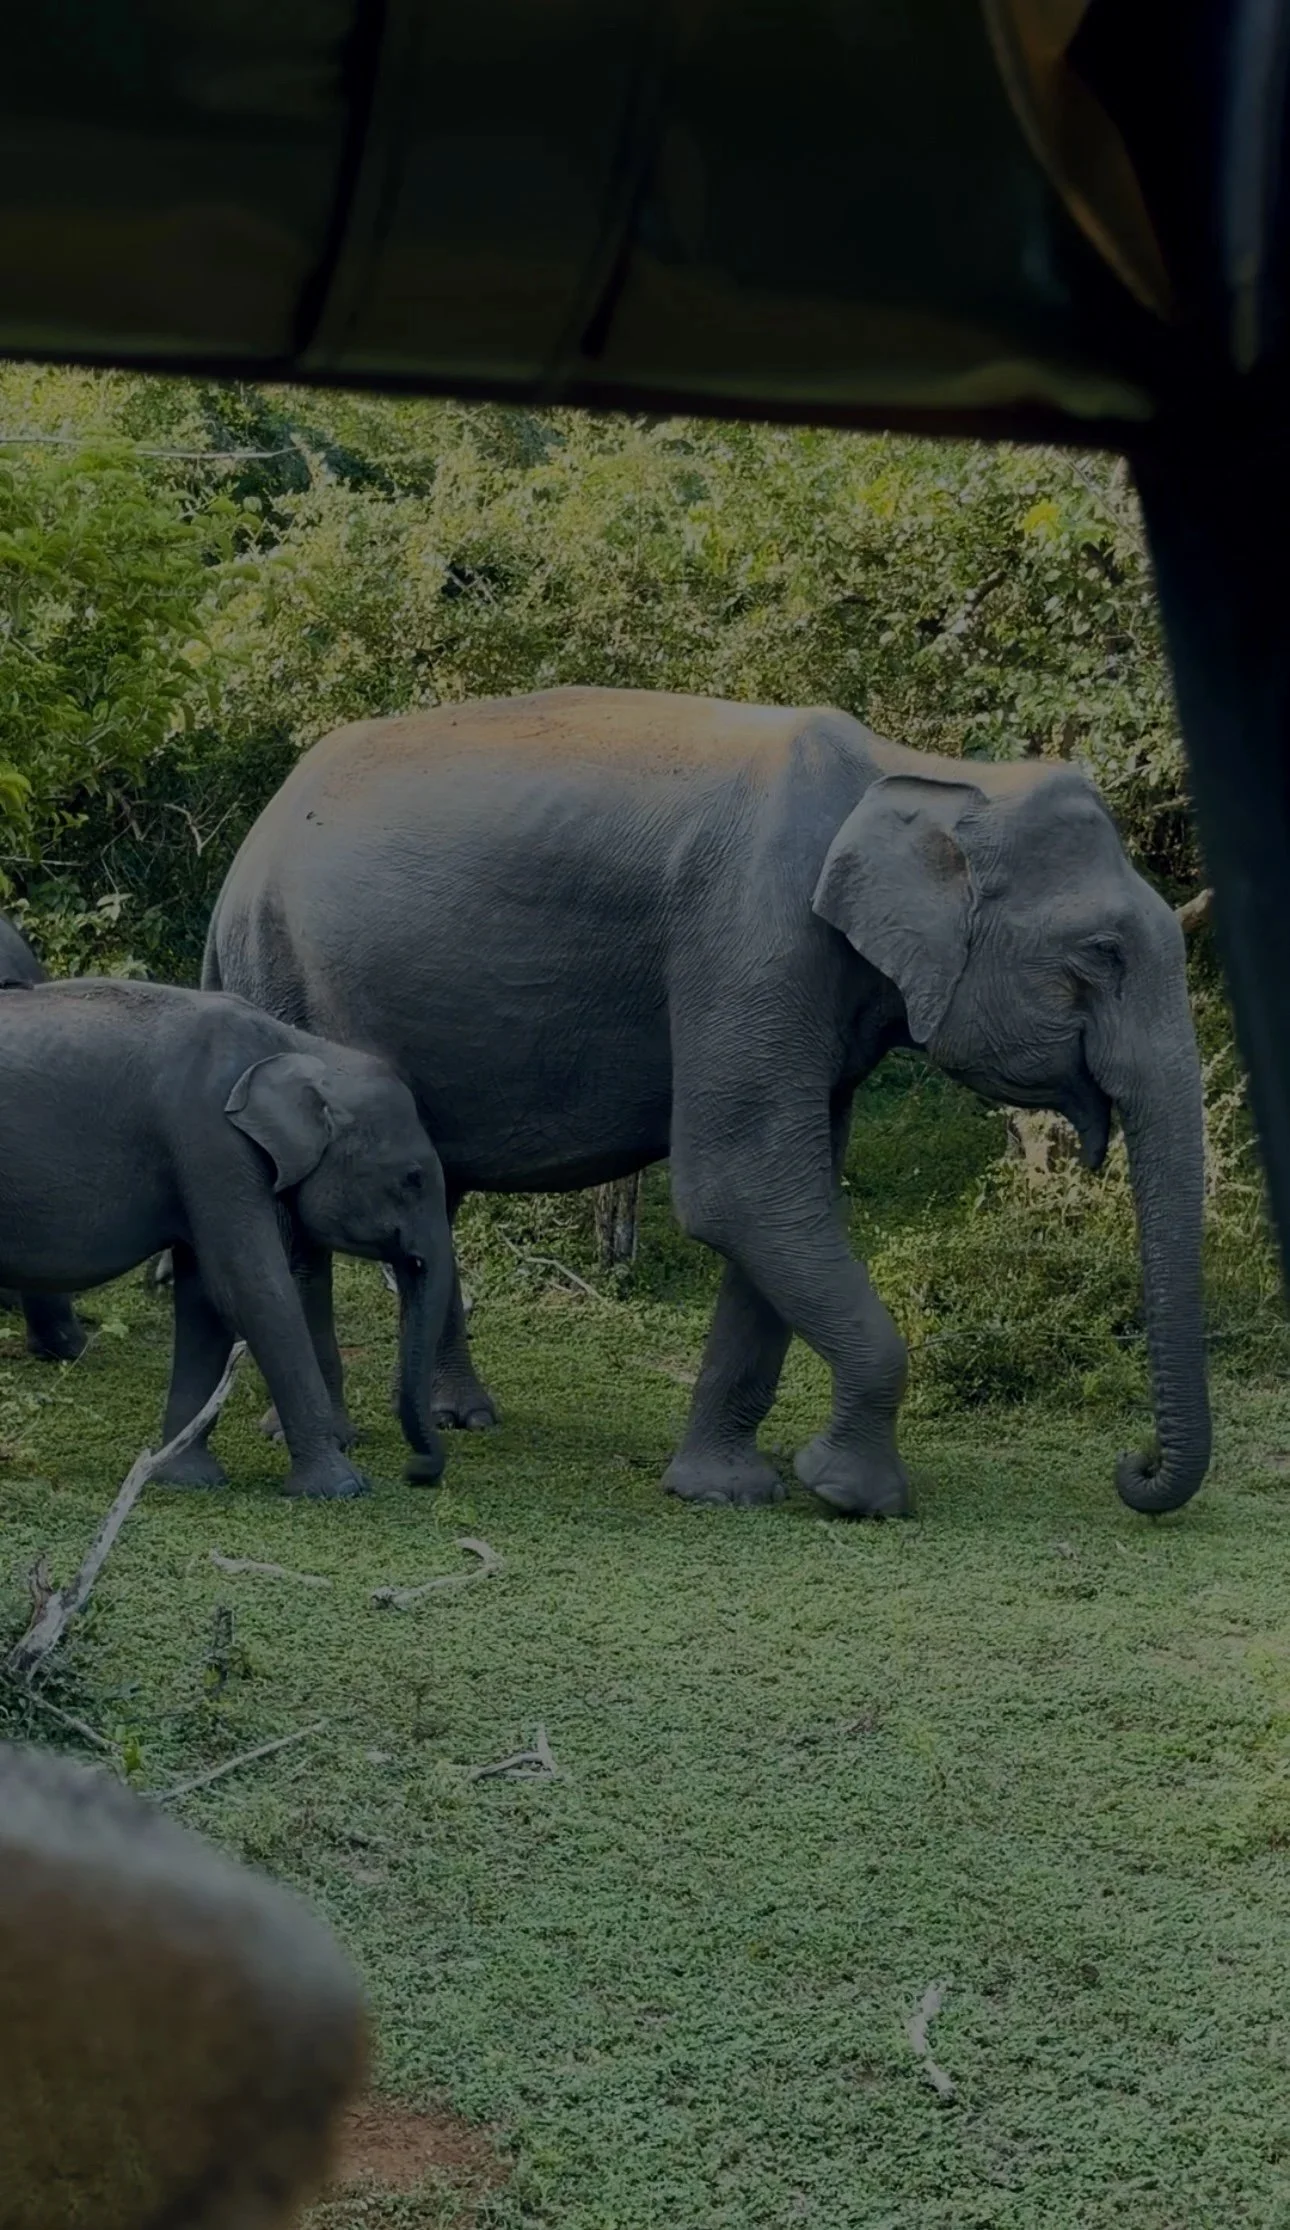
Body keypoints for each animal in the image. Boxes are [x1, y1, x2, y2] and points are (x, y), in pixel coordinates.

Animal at [0, 979, 453, 1498]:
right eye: (413, 1179)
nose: (417, 1470)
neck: (298, 1048)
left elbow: (205, 1300)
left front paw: (187, 1478)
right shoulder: (211, 1139)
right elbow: (249, 1288)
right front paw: (342, 1488)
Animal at [205, 685, 1210, 1519]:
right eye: (1101, 954)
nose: (1134, 1468)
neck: (929, 773)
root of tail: (245, 849)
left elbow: (786, 1200)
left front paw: (726, 1492)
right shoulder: (755, 938)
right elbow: (743, 1188)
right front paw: (853, 1496)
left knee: (433, 1190)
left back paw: (462, 1420)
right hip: (280, 969)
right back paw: (325, 1435)